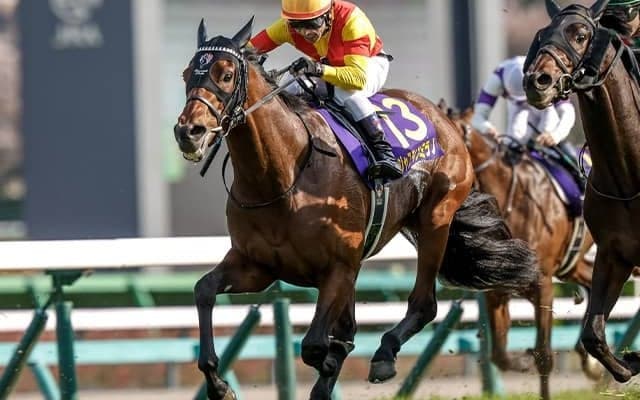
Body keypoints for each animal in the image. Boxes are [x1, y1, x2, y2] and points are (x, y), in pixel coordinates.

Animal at [173, 18, 538, 400]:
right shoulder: (257, 266)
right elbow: (204, 290)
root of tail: (442, 117)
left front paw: (331, 362)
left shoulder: (338, 267)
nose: (189, 132)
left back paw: (385, 354)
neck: (282, 176)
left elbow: (318, 345)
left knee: (423, 304)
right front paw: (219, 384)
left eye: (226, 74)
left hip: (435, 219)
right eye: (186, 74)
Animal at [439, 102, 600, 399]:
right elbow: (499, 355)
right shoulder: (496, 289)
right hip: (571, 264)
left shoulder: (543, 284)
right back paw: (590, 360)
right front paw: (522, 360)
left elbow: (544, 355)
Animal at [523, 0, 640, 384]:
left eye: (581, 35)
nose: (538, 81)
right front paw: (628, 363)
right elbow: (593, 334)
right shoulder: (613, 253)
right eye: (542, 34)